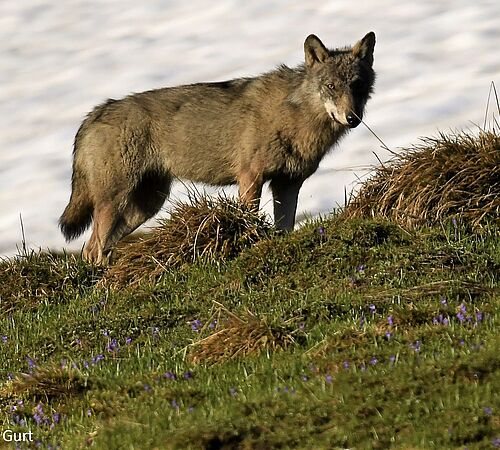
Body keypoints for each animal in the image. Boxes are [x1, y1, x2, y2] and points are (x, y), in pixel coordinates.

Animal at [59, 32, 376, 264]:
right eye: (331, 86)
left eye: (357, 85)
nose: (353, 118)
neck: (296, 116)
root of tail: (95, 113)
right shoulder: (251, 178)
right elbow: (250, 220)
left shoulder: (287, 184)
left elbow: (284, 228)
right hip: (116, 201)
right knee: (93, 248)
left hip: (145, 206)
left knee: (96, 247)